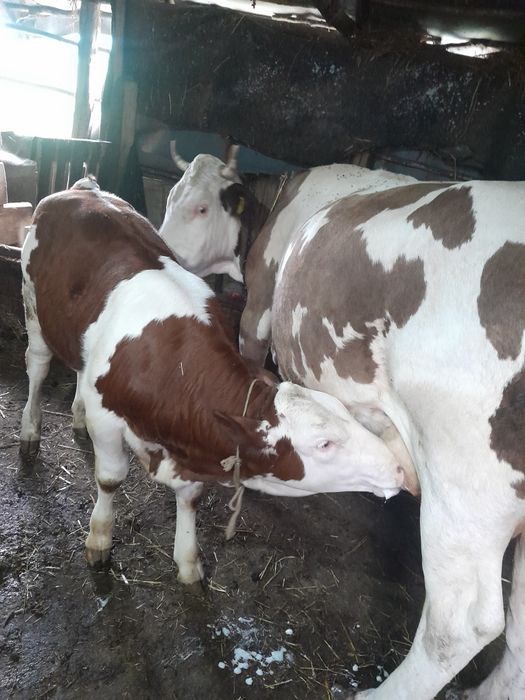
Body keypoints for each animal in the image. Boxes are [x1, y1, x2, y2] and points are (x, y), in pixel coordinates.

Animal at [19, 181, 407, 586]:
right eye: (324, 443)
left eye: (344, 412)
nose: (398, 468)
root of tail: (85, 188)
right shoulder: (107, 420)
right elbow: (110, 479)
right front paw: (99, 540)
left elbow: (190, 497)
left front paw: (189, 561)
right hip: (33, 305)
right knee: (38, 366)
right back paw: (30, 433)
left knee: (79, 365)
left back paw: (76, 415)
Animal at [158, 149, 525, 699]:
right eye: (170, 196)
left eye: (201, 208)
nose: (158, 244)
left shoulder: (257, 311)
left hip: (465, 486)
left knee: (458, 626)